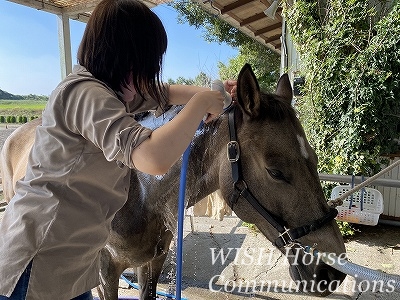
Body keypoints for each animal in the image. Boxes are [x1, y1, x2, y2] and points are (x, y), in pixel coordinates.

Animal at [0, 63, 346, 298]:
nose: (331, 271)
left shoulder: (153, 262)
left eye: (315, 160)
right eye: (275, 171)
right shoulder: (103, 273)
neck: (141, 193)